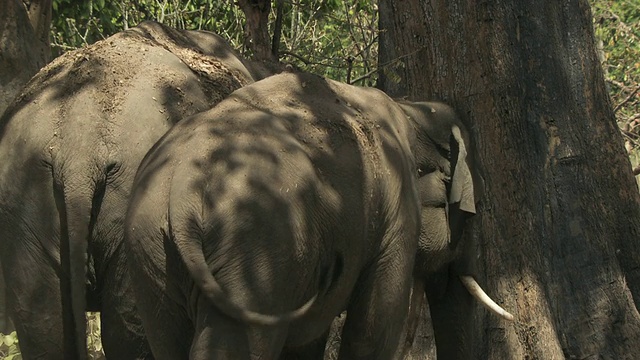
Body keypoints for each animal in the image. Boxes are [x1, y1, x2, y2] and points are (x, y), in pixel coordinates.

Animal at [124, 71, 424, 358]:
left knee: (168, 337)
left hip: (149, 246)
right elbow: (373, 329)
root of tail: (182, 187)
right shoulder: (397, 212)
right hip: (256, 241)